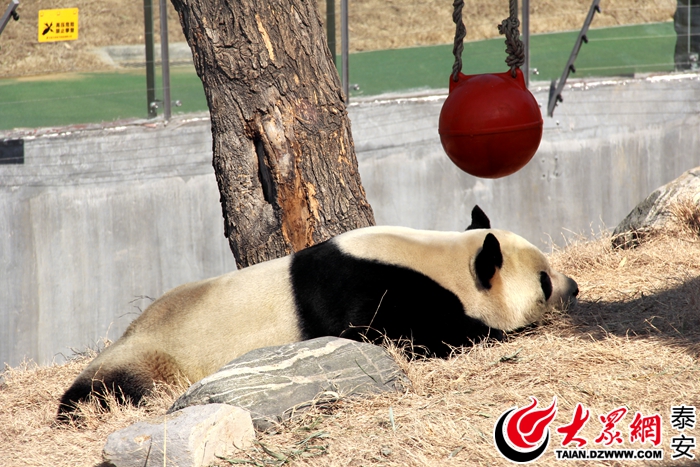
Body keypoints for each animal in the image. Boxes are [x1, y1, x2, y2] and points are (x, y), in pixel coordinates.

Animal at [57, 206, 578, 420]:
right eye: (543, 281)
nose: (573, 289)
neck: (441, 261)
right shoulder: (375, 292)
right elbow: (402, 335)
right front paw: (494, 333)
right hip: (154, 355)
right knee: (112, 388)